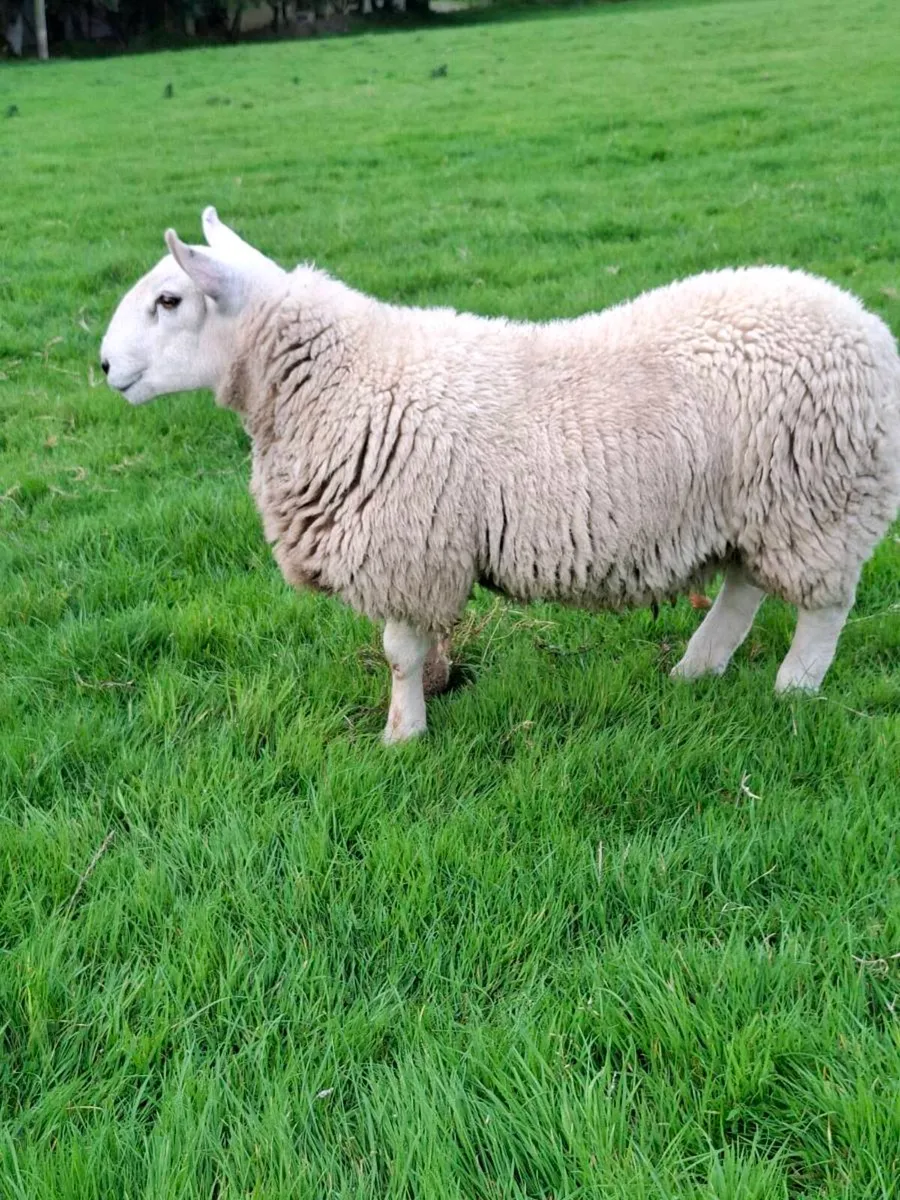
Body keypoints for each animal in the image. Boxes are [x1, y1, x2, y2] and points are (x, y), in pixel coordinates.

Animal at [100, 207, 900, 742]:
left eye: (169, 300)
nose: (104, 366)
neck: (340, 378)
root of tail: (866, 325)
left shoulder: (408, 546)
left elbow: (397, 654)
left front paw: (403, 734)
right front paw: (421, 709)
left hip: (816, 500)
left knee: (824, 606)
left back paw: (794, 689)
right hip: (754, 507)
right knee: (742, 588)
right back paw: (696, 670)